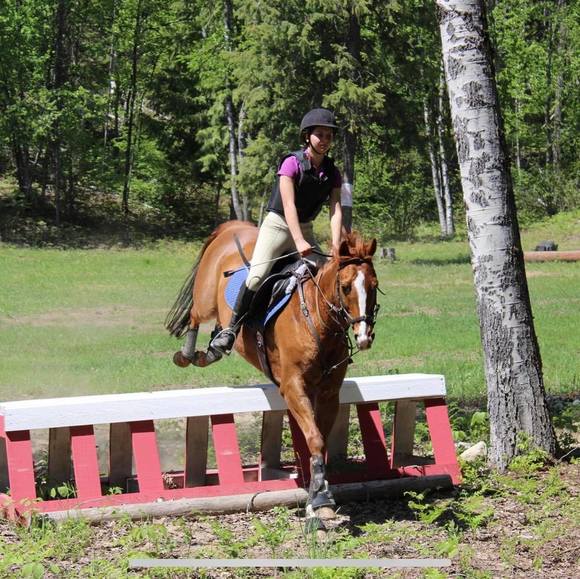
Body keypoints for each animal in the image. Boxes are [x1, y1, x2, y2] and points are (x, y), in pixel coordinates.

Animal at [166, 220, 379, 529]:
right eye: (346, 286)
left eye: (375, 286)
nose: (364, 337)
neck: (316, 320)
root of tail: (234, 226)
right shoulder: (293, 387)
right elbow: (315, 438)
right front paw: (321, 499)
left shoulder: (329, 393)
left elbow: (320, 441)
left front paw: (318, 497)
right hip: (206, 296)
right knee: (196, 314)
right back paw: (189, 355)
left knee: (218, 327)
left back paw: (215, 347)